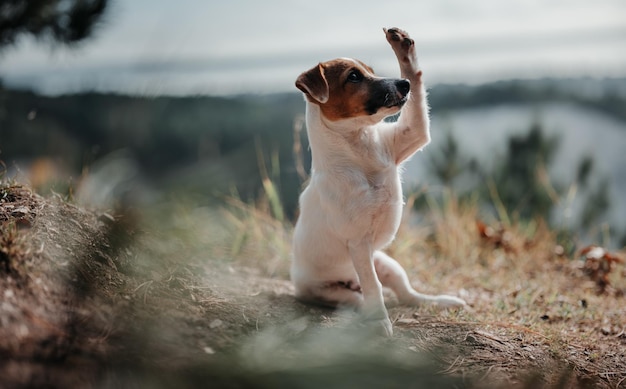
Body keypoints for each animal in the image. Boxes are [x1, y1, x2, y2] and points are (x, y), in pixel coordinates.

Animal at [288, 28, 464, 336]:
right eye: (353, 77)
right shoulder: (358, 242)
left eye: (370, 71)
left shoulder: (412, 134)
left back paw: (441, 301)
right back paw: (371, 315)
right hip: (333, 290)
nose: (403, 84)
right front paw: (381, 322)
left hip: (387, 262)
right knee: (364, 295)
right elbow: (374, 287)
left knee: (408, 295)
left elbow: (418, 102)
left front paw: (403, 47)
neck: (361, 148)